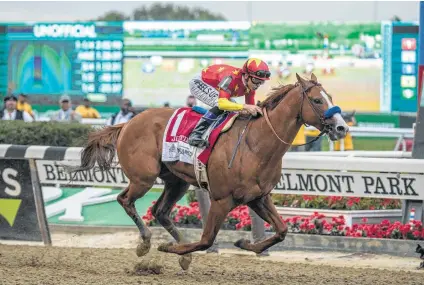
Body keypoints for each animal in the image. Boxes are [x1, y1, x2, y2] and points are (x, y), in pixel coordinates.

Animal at [73, 73, 350, 268]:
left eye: (331, 97)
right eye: (317, 100)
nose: (342, 128)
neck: (256, 145)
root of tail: (128, 122)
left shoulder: (258, 197)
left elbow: (281, 231)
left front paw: (244, 242)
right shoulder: (221, 199)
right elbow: (206, 240)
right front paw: (170, 250)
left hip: (177, 181)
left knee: (160, 211)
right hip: (144, 177)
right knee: (125, 200)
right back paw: (146, 241)